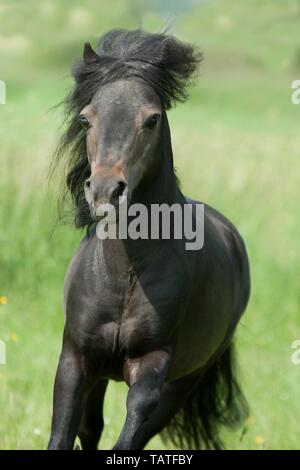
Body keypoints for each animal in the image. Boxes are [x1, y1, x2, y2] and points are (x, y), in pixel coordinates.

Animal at [48, 29, 251, 452]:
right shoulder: (76, 360)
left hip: (185, 381)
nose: (105, 190)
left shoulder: (152, 363)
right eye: (85, 118)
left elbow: (130, 432)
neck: (125, 270)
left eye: (152, 119)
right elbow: (65, 434)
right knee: (90, 428)